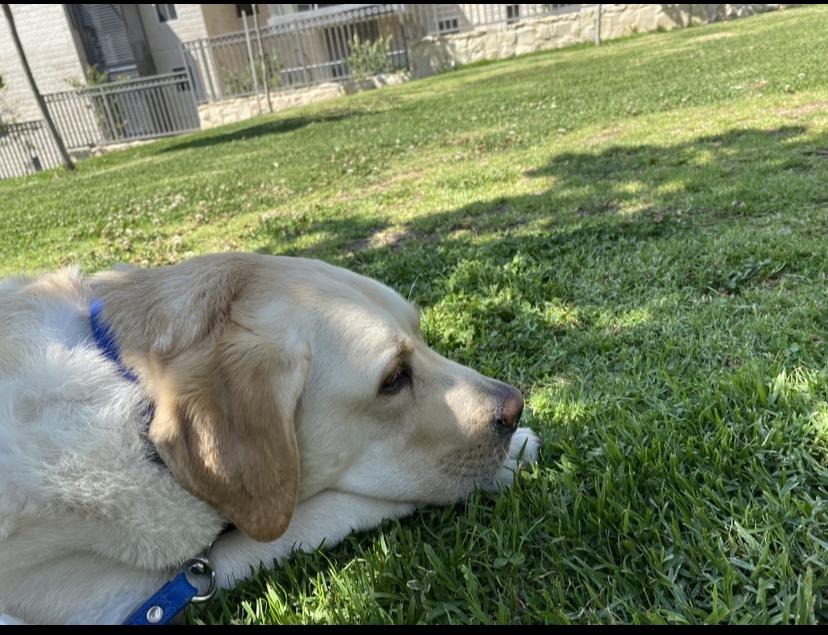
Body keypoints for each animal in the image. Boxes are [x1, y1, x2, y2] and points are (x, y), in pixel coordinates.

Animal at [0, 253, 540, 624]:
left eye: (422, 333)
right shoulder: (99, 596)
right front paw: (509, 459)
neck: (132, 387)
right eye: (392, 378)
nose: (515, 407)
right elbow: (315, 517)